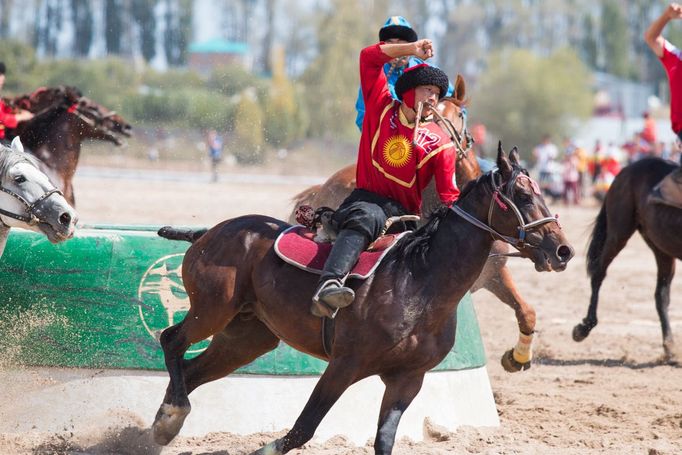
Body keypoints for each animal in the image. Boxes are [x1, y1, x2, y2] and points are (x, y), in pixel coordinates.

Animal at [151, 146, 572, 455]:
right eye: (522, 195)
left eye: (541, 193)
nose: (562, 250)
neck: (420, 280)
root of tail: (210, 232)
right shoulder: (343, 365)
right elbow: (303, 429)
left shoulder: (407, 380)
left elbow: (384, 440)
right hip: (213, 311)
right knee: (172, 341)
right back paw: (172, 412)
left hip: (246, 338)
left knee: (191, 372)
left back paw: (165, 423)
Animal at [290, 75, 540, 374]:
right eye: (432, 115)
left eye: (459, 114)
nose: (444, 143)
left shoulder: (494, 273)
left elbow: (526, 311)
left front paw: (518, 358)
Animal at [572, 159, 680, 366]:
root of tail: (627, 169)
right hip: (619, 233)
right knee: (599, 273)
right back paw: (583, 328)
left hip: (661, 248)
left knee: (661, 295)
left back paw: (670, 348)